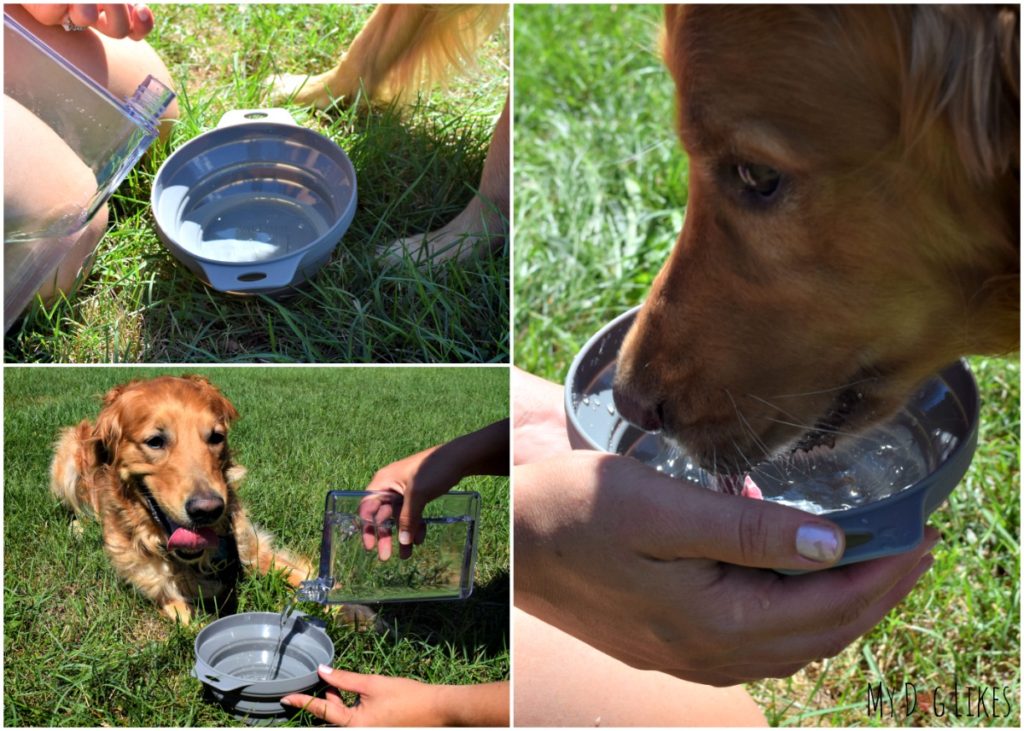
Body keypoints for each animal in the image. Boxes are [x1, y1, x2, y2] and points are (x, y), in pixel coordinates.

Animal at [50, 376, 311, 622]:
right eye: (155, 441)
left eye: (216, 437)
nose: (208, 510)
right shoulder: (159, 587)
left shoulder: (250, 545)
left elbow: (304, 574)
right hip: (66, 458)